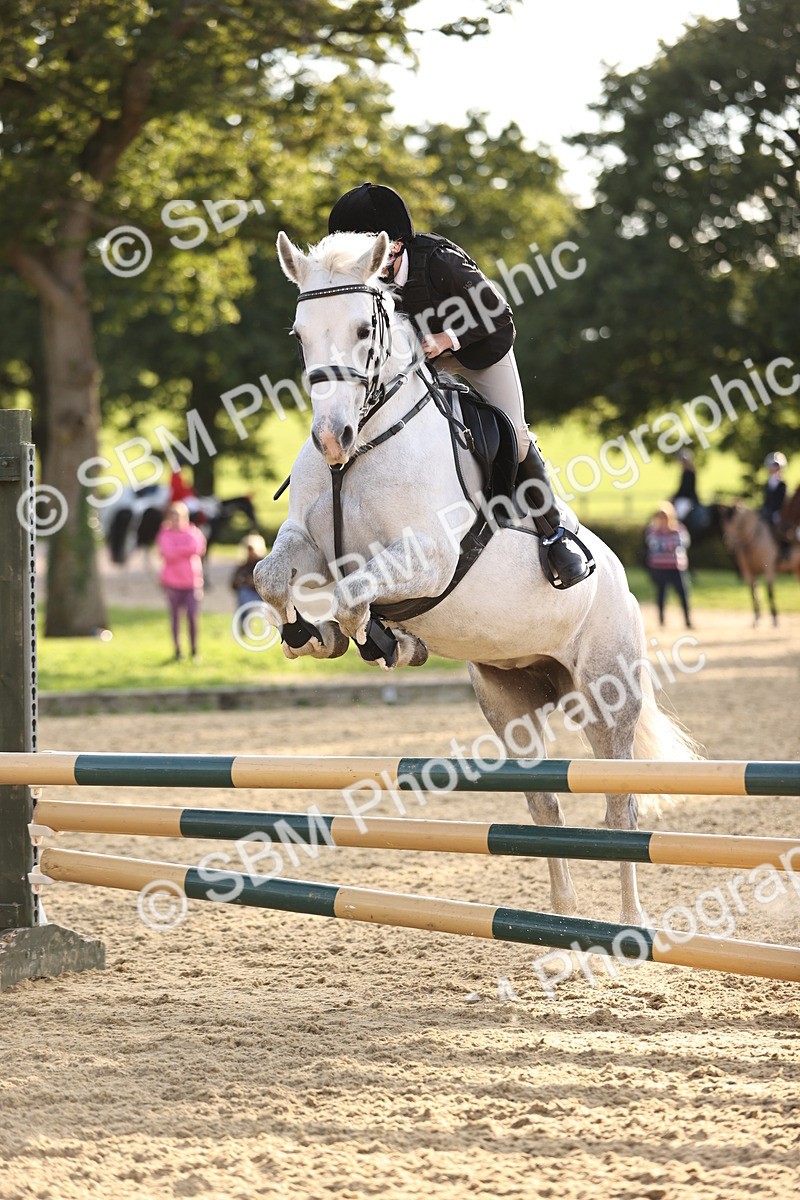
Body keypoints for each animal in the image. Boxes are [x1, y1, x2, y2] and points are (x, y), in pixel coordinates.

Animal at [254, 230, 700, 925]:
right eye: (300, 334)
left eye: (363, 328)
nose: (330, 438)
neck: (366, 445)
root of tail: (623, 583)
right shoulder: (309, 545)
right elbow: (271, 576)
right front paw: (315, 635)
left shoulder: (430, 557)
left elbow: (355, 595)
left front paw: (376, 638)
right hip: (507, 700)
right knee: (543, 804)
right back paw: (561, 917)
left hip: (608, 695)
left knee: (620, 808)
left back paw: (630, 926)